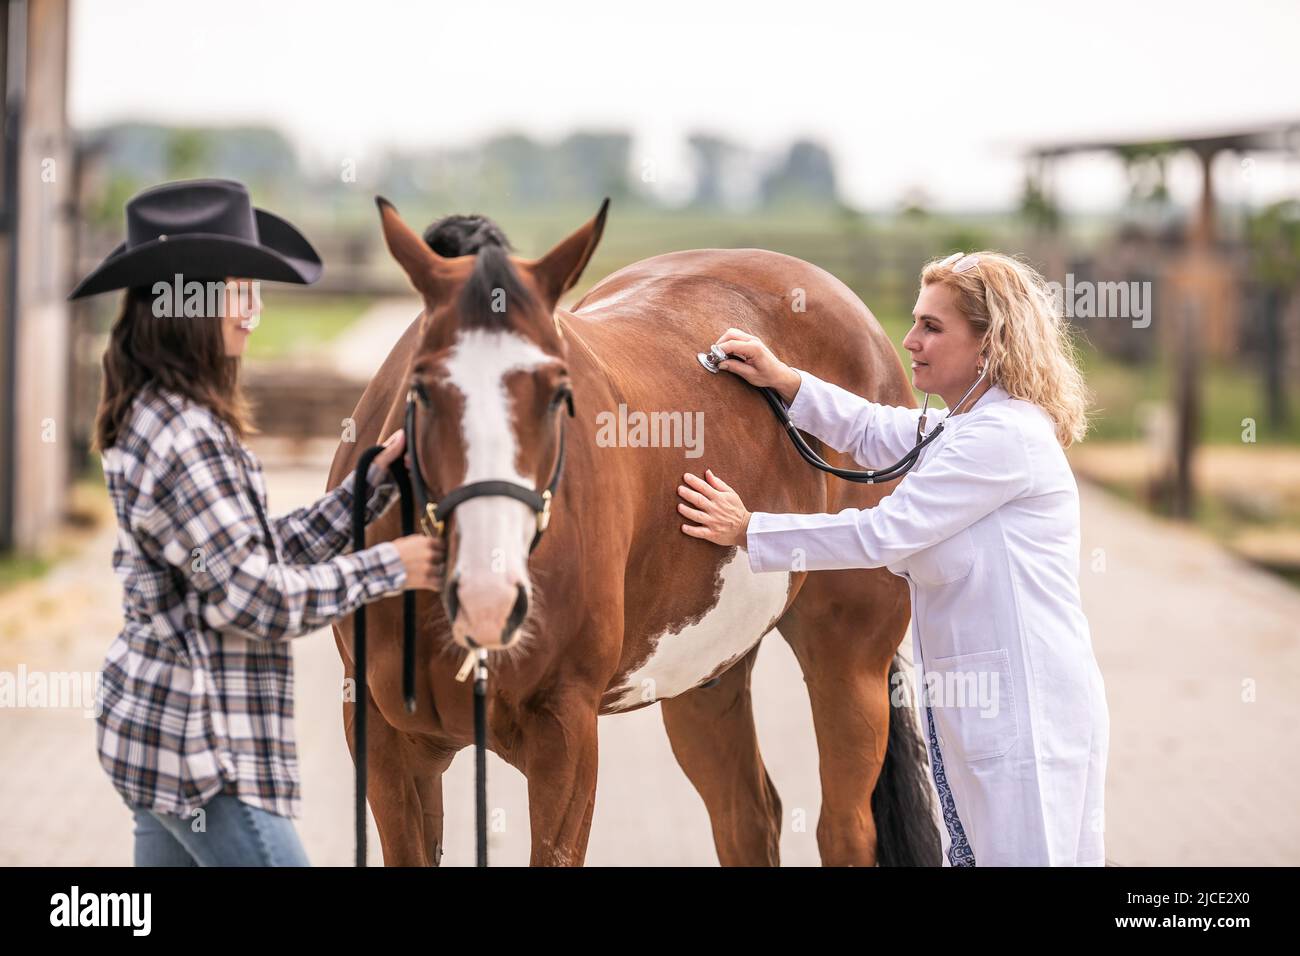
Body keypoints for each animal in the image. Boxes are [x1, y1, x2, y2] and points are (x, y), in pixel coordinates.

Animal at [326, 198, 941, 866]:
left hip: (848, 660)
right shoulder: (386, 743)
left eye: (559, 393)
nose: (489, 597)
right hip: (706, 673)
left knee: (843, 828)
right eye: (421, 387)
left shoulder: (565, 737)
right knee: (748, 817)